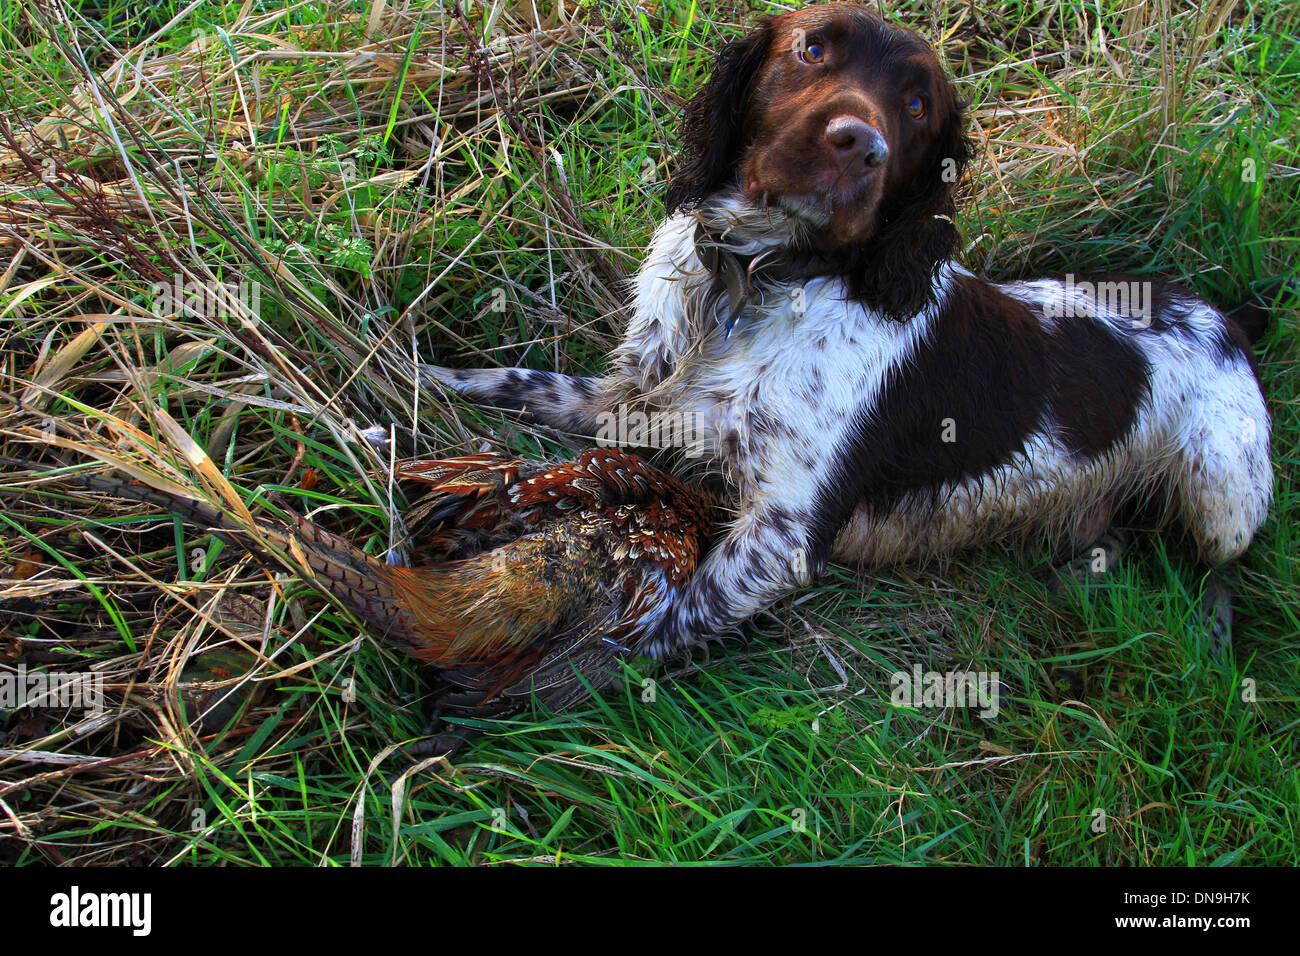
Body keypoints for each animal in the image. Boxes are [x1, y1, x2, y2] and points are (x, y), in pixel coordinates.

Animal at [423, 7, 1268, 660]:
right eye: (813, 49)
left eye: (919, 104)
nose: (862, 144)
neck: (755, 281)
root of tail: (1223, 316)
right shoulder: (625, 402)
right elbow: (508, 380)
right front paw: (412, 386)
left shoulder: (784, 533)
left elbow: (643, 637)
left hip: (1221, 483)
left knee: (1222, 564)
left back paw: (1210, 638)